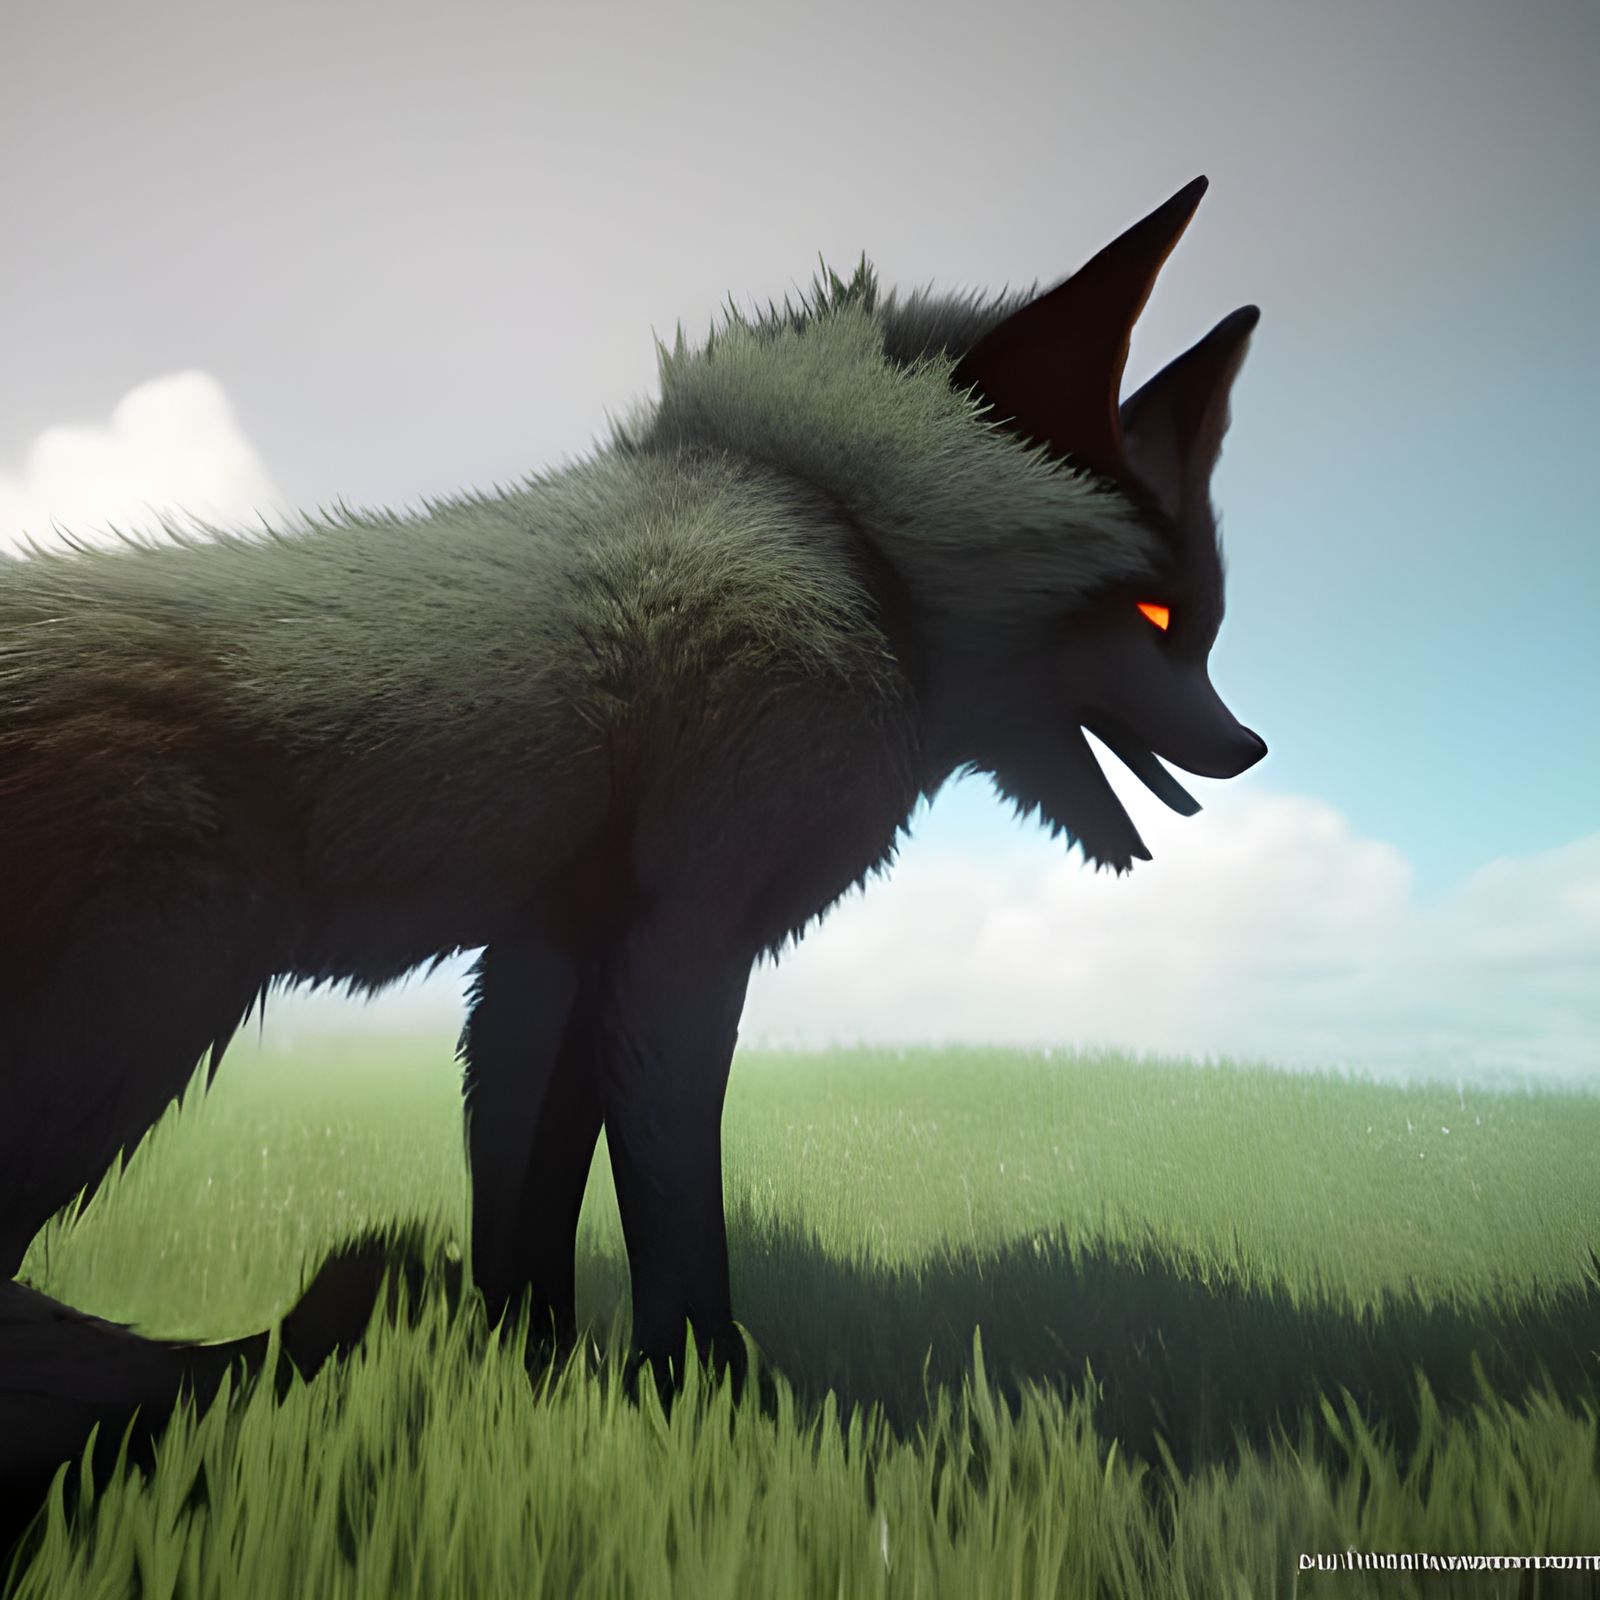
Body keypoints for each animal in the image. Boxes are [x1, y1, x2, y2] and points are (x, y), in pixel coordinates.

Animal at [0, 175, 1263, 1494]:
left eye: (1204, 626)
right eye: (1154, 613)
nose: (1249, 748)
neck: (843, 536)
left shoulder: (547, 955)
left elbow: (523, 1210)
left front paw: (533, 1392)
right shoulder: (680, 942)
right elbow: (674, 1204)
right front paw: (701, 1399)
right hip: (144, 1010)